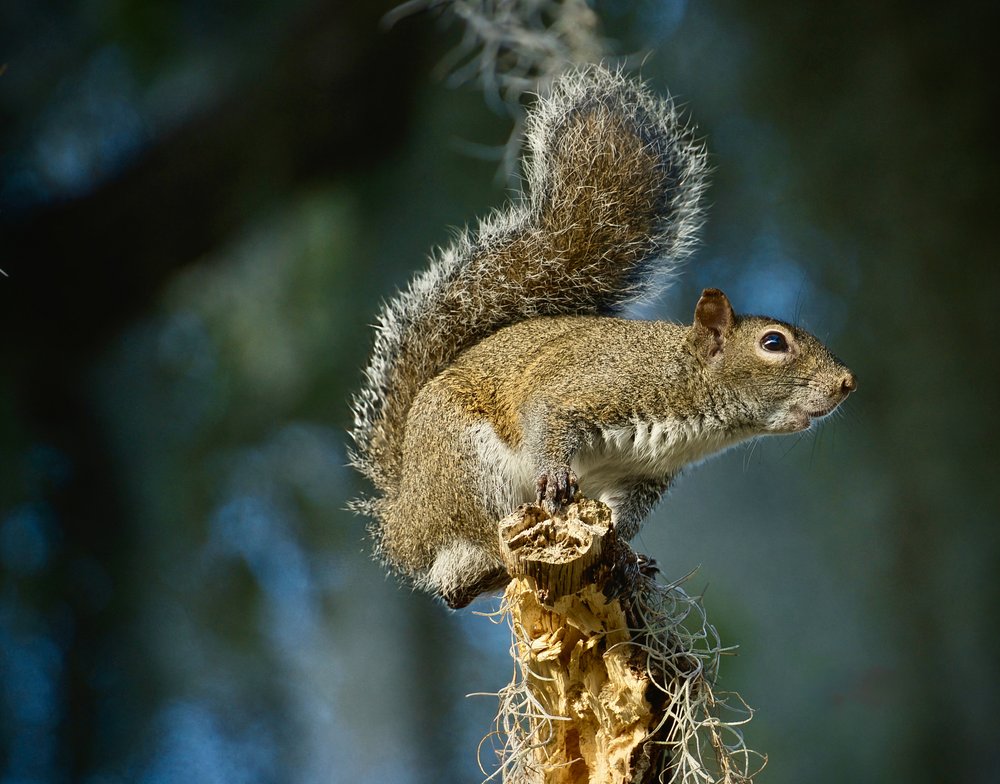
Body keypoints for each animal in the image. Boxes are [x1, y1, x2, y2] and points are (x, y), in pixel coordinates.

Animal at [350, 65, 856, 609]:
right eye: (773, 343)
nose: (847, 382)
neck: (689, 392)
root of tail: (402, 521)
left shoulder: (643, 476)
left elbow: (624, 519)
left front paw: (629, 562)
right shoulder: (586, 386)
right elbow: (546, 416)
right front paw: (554, 475)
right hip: (464, 464)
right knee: (471, 552)